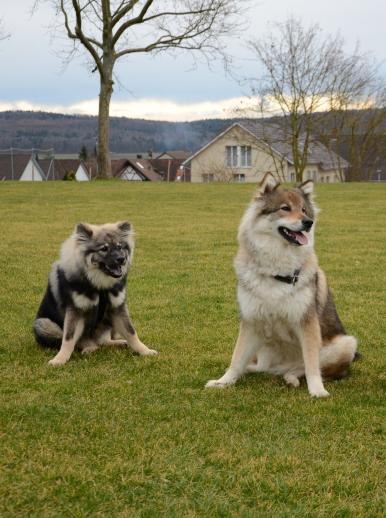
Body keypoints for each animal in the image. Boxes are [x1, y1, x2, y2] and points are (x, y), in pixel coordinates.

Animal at [34, 222, 158, 366]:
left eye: (119, 247)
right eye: (104, 249)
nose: (121, 259)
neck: (99, 285)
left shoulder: (117, 308)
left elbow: (131, 332)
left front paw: (145, 351)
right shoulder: (75, 311)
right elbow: (68, 339)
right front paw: (60, 359)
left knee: (103, 341)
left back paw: (118, 342)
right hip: (42, 323)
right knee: (83, 343)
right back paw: (90, 348)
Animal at [207, 175, 358, 398]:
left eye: (304, 210)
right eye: (285, 208)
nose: (308, 223)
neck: (277, 269)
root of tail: (279, 368)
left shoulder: (307, 324)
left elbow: (311, 365)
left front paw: (317, 390)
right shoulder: (251, 322)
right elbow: (237, 358)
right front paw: (223, 381)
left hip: (346, 343)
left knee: (304, 368)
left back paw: (291, 378)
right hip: (263, 351)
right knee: (259, 367)